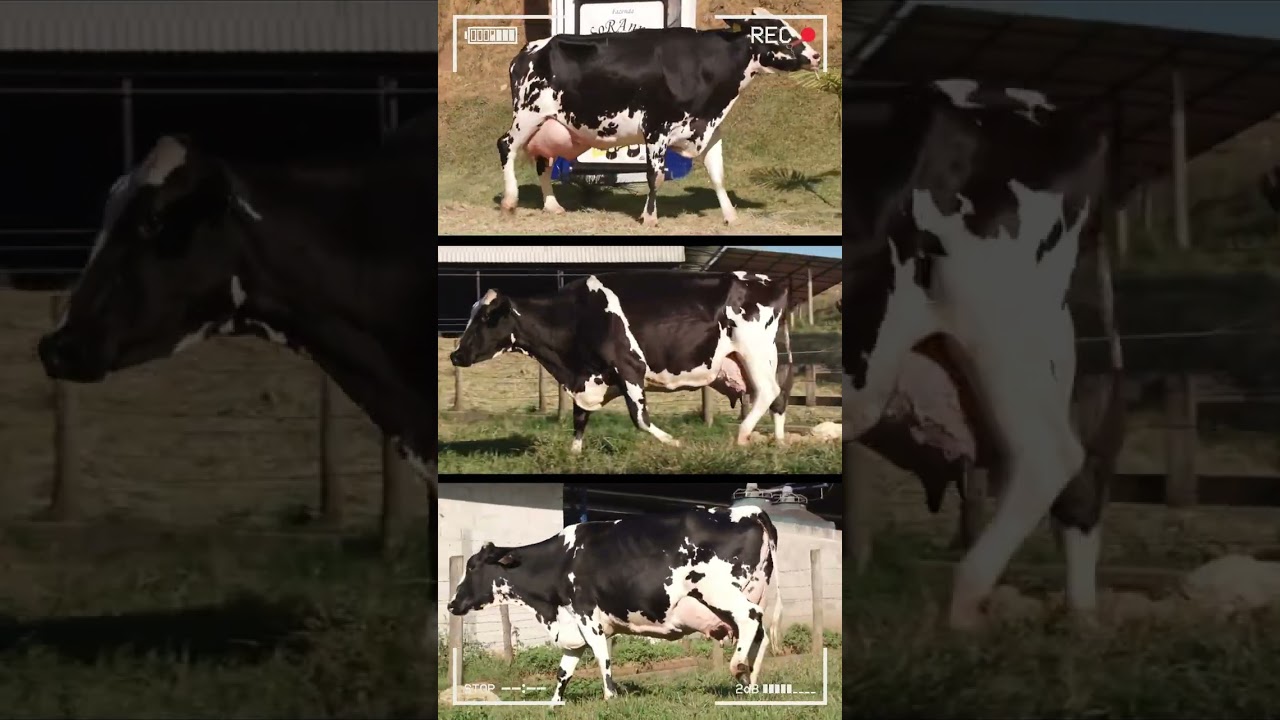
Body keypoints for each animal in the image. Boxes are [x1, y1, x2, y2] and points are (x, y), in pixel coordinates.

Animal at [446, 505, 782, 701]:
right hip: (751, 590)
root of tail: (751, 510)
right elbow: (563, 671)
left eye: (472, 567)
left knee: (751, 619)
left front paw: (611, 697)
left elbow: (602, 658)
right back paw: (750, 685)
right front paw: (555, 703)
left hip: (721, 591)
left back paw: (738, 668)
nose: (451, 604)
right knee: (760, 634)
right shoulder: (573, 628)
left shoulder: (587, 616)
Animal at [448, 270, 795, 452]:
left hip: (753, 349)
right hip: (766, 356)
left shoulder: (629, 367)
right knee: (779, 398)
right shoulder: (588, 377)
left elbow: (639, 418)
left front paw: (674, 443)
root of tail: (771, 281)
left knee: (767, 393)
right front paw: (574, 456)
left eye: (487, 318)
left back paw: (742, 436)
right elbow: (579, 419)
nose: (455, 354)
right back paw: (778, 443)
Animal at [499, 7, 822, 226]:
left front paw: (731, 216)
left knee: (542, 161)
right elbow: (655, 176)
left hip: (549, 124)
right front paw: (650, 218)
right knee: (506, 146)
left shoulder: (708, 128)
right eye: (774, 30)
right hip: (527, 114)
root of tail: (528, 50)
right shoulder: (657, 128)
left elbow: (718, 176)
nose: (815, 55)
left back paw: (552, 205)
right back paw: (510, 201)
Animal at [842, 79, 1125, 630]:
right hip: (1058, 348)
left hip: (998, 321)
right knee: (1077, 485)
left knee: (1049, 457)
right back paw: (1079, 621)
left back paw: (966, 602)